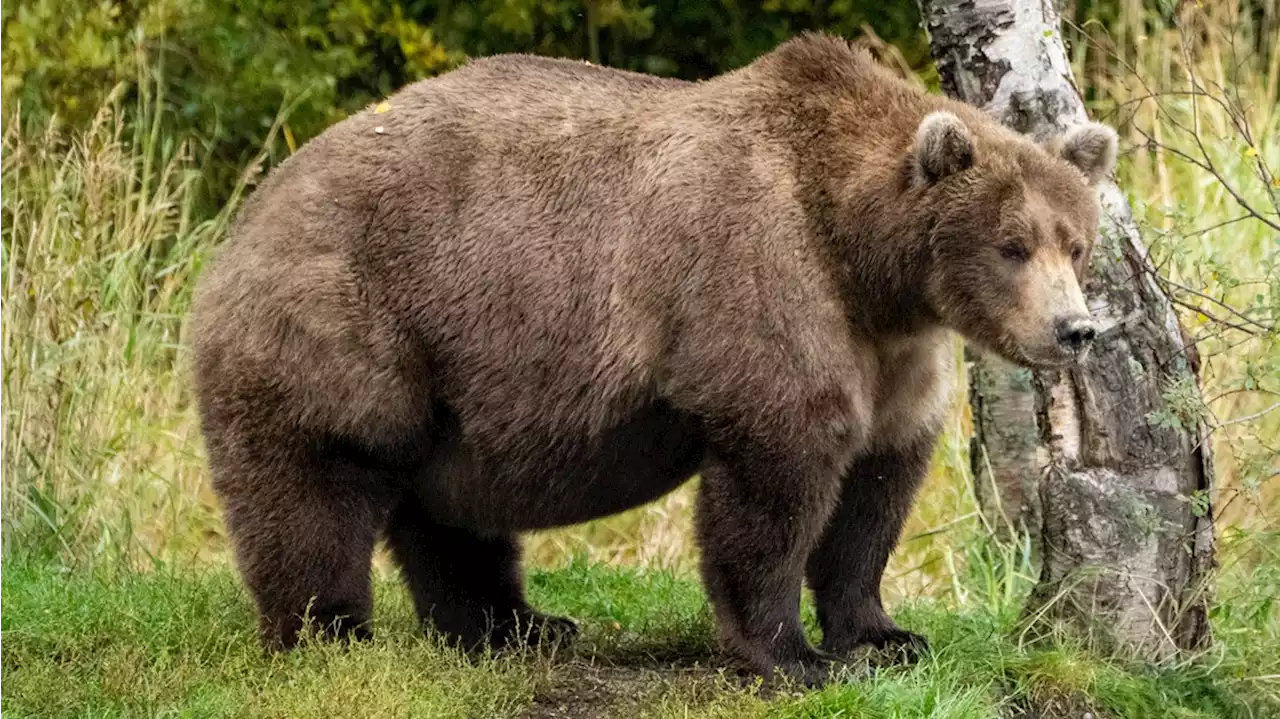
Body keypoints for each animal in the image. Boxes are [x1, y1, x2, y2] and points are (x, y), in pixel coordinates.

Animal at [185, 32, 1116, 680]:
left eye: (1076, 242)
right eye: (1012, 245)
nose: (1075, 329)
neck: (865, 261)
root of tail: (244, 221)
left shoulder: (896, 351)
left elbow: (877, 486)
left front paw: (886, 634)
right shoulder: (761, 279)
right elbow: (778, 476)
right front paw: (794, 653)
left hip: (456, 379)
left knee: (451, 508)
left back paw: (519, 624)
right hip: (349, 321)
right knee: (315, 483)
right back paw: (330, 632)